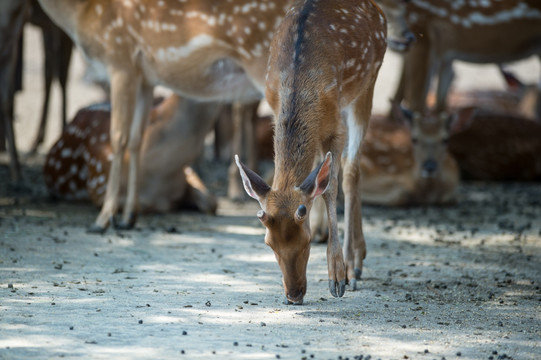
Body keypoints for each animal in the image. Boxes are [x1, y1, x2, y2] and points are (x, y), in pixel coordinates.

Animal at [234, 0, 386, 304]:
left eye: (304, 243)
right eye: (269, 244)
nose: (293, 295)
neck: (298, 81)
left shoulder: (334, 126)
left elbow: (330, 188)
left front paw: (337, 277)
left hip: (368, 82)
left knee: (351, 170)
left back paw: (354, 265)